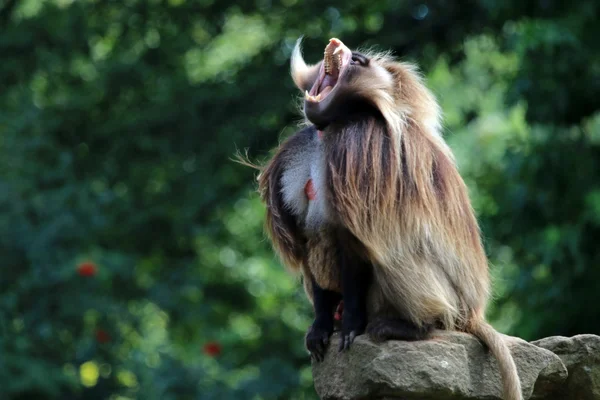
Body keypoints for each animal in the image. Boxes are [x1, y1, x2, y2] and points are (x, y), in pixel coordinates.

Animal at [253, 38, 520, 400]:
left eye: (360, 61)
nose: (341, 45)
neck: (329, 133)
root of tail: (472, 312)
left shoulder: (358, 150)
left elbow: (355, 243)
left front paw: (351, 327)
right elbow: (307, 242)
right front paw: (320, 328)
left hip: (446, 302)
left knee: (394, 251)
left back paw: (410, 327)